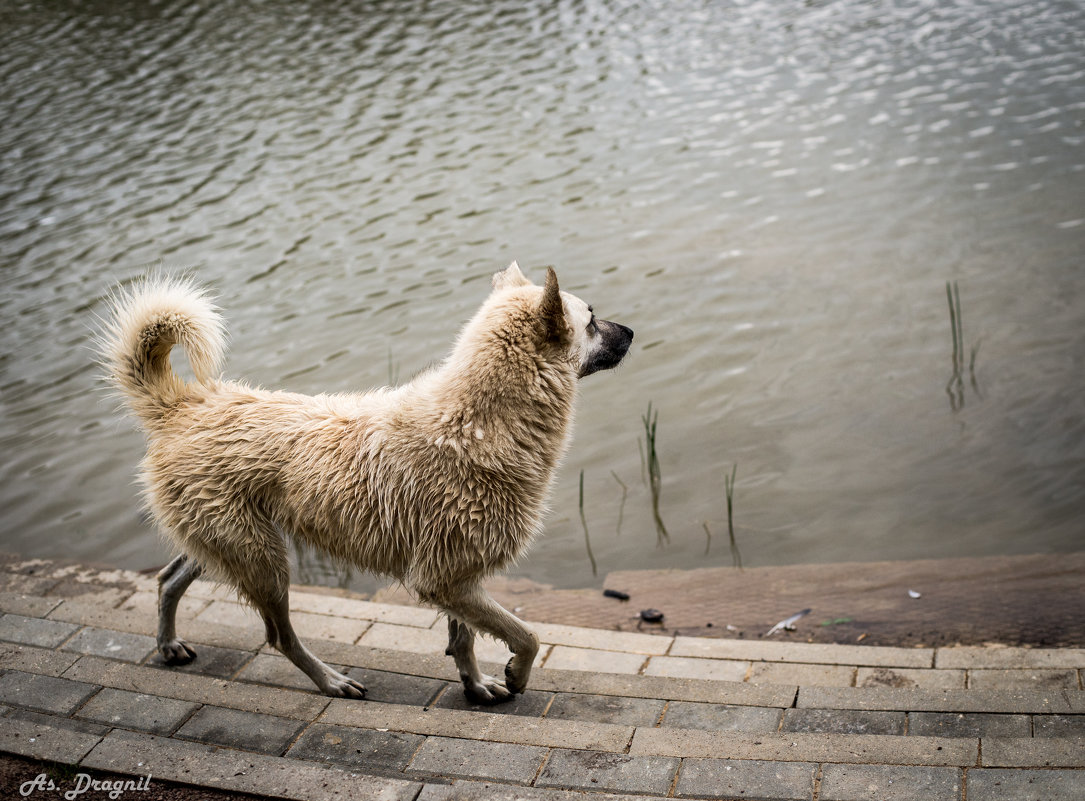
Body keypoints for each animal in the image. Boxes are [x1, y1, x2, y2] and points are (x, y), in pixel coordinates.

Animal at [99, 262, 633, 698]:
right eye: (590, 320)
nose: (630, 331)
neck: (476, 421)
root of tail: (183, 407)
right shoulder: (444, 576)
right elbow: (527, 635)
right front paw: (516, 675)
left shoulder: (458, 574)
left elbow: (464, 637)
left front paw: (476, 685)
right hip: (263, 560)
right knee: (279, 636)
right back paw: (331, 681)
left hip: (229, 544)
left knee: (169, 579)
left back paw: (168, 644)